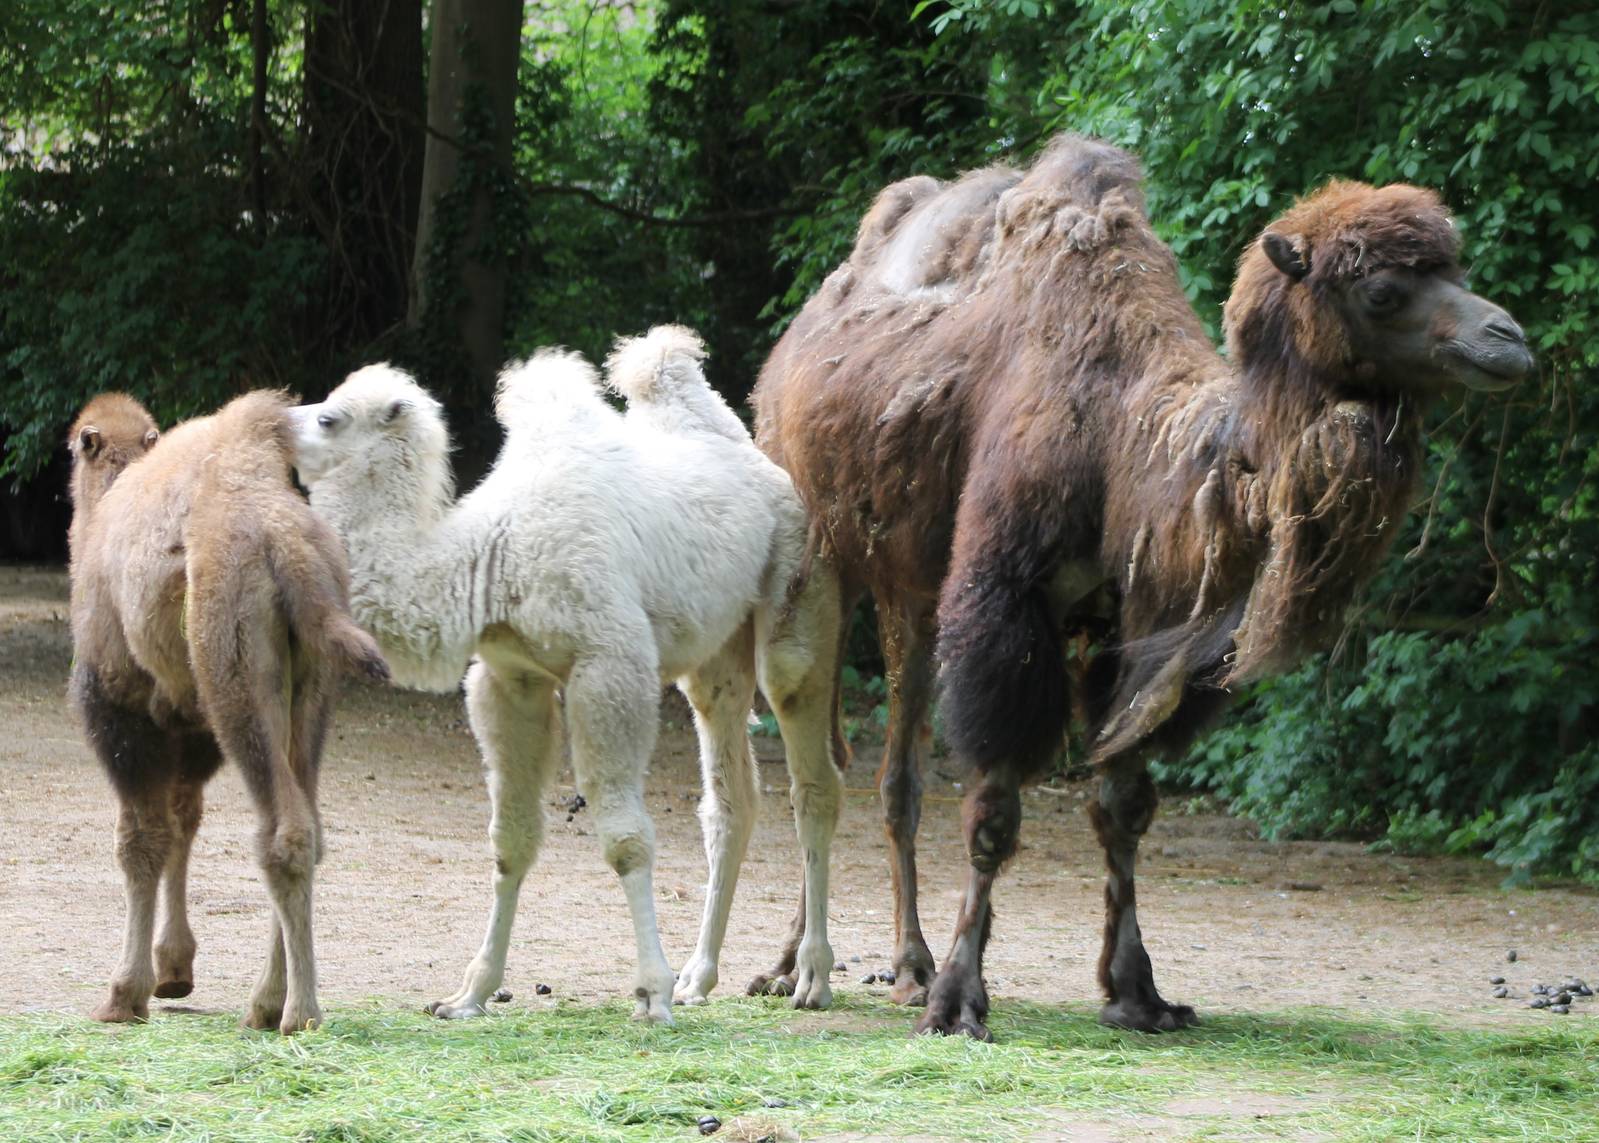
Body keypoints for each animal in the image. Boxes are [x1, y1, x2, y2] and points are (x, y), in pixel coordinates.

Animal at [67, 390, 388, 1035]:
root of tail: (289, 546)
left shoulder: (119, 702)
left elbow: (140, 838)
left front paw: (124, 994)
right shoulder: (190, 724)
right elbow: (182, 819)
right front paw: (173, 970)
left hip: (234, 677)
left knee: (282, 831)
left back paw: (297, 1013)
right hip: (311, 687)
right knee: (307, 823)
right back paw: (267, 1002)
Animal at [287, 326, 843, 1024]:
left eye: (330, 418)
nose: (275, 421)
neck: (490, 559)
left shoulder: (610, 665)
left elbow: (625, 839)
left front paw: (650, 994)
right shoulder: (510, 679)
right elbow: (512, 839)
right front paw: (469, 994)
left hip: (796, 589)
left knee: (811, 778)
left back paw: (811, 978)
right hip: (716, 654)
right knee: (730, 798)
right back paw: (700, 976)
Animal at [752, 134, 1533, 1039]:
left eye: (1452, 266)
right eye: (1380, 289)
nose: (1508, 339)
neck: (1126, 435)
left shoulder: (1133, 627)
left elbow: (1123, 805)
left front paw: (1137, 991)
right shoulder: (1006, 603)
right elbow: (994, 808)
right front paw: (957, 999)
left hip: (909, 589)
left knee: (893, 771)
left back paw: (903, 964)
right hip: (823, 557)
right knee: (823, 761)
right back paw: (802, 965)